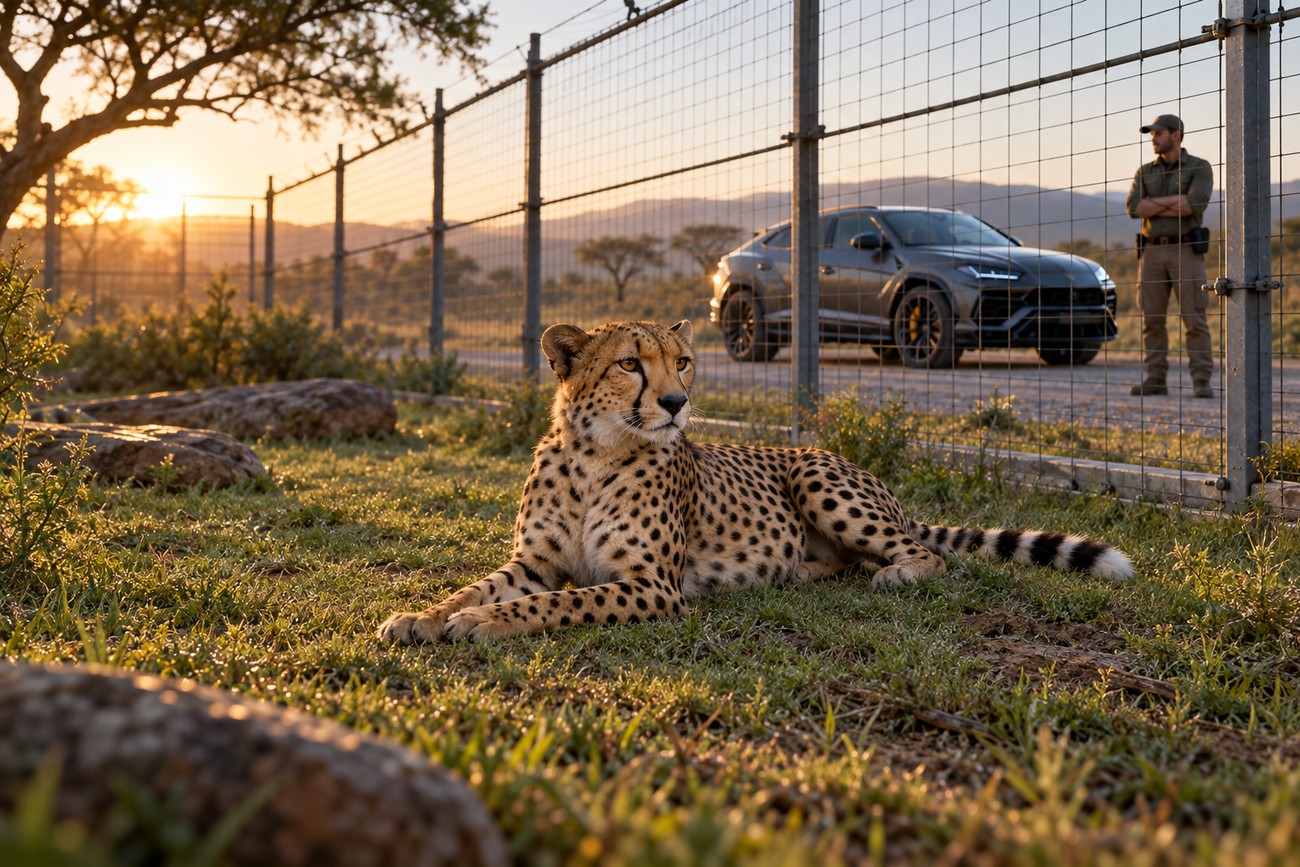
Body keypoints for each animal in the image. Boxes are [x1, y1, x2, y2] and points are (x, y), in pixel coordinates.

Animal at [378, 319, 1133, 644]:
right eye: (629, 363)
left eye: (684, 361)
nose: (676, 403)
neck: (597, 454)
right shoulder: (535, 562)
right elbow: (479, 586)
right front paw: (423, 615)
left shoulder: (651, 586)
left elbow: (552, 605)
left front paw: (481, 623)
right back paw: (800, 570)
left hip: (818, 477)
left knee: (927, 554)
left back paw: (895, 573)